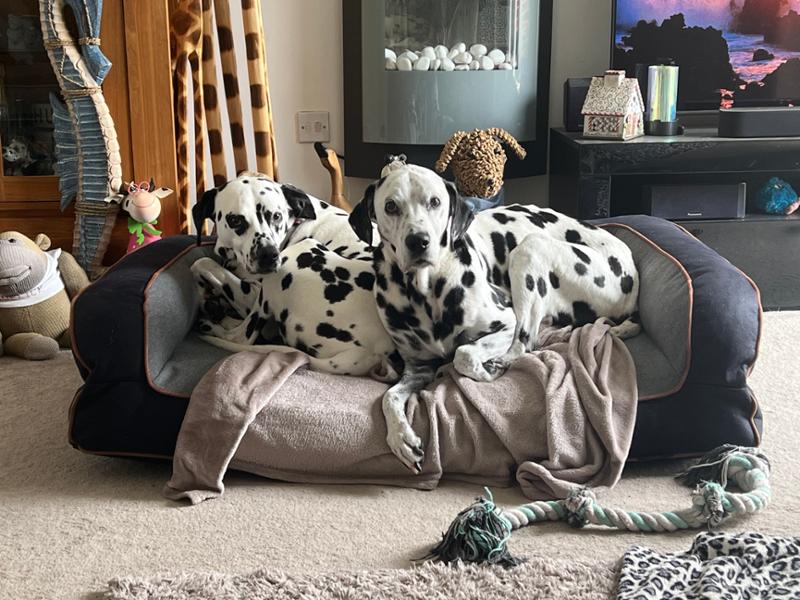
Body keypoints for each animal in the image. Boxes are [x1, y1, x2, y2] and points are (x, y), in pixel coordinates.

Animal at [191, 237, 396, 378]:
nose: (228, 262)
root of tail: (373, 351)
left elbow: (203, 264)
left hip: (292, 259)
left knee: (241, 336)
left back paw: (211, 324)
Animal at [346, 164, 640, 474]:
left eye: (435, 201)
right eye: (391, 206)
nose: (419, 241)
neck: (424, 292)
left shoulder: (505, 325)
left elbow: (464, 354)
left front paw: (485, 371)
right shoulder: (418, 367)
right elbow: (388, 397)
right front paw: (401, 437)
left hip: (529, 250)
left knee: (524, 342)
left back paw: (501, 362)